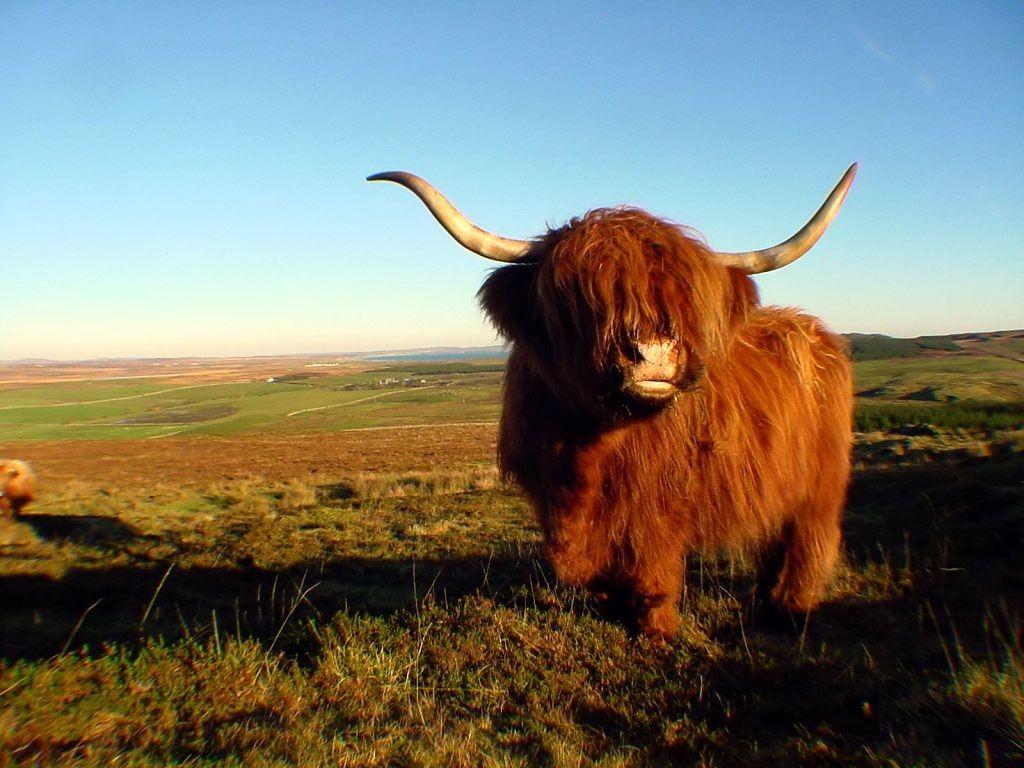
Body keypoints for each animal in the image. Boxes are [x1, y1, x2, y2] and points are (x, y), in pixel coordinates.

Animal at [368, 165, 856, 639]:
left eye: (686, 300)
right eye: (581, 298)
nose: (656, 353)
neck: (586, 447)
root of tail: (816, 331)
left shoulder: (660, 503)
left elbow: (653, 567)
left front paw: (656, 630)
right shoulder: (553, 499)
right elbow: (597, 571)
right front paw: (613, 607)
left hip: (820, 485)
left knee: (808, 540)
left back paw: (790, 609)